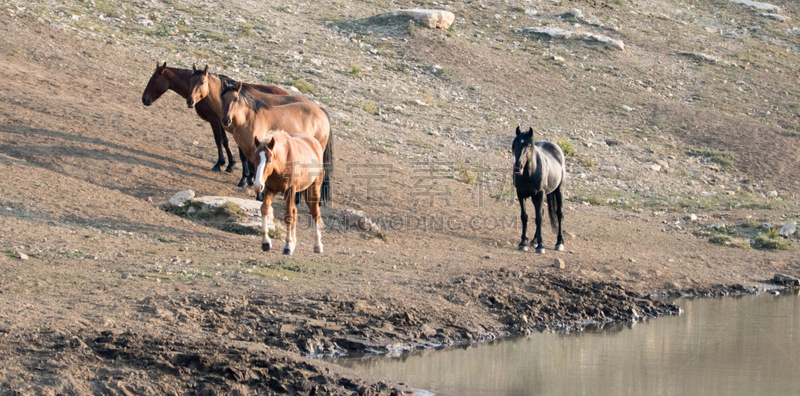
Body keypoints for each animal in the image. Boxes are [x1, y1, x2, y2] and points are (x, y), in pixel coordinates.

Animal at [142, 62, 290, 173]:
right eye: (190, 81)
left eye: (154, 80)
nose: (144, 99)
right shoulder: (222, 122)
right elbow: (225, 141)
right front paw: (230, 164)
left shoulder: (215, 121)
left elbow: (219, 140)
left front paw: (220, 164)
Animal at [187, 65, 332, 204]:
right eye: (191, 81)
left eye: (202, 82)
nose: (190, 101)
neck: (248, 118)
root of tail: (320, 110)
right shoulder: (246, 147)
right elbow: (250, 164)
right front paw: (249, 182)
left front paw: (250, 186)